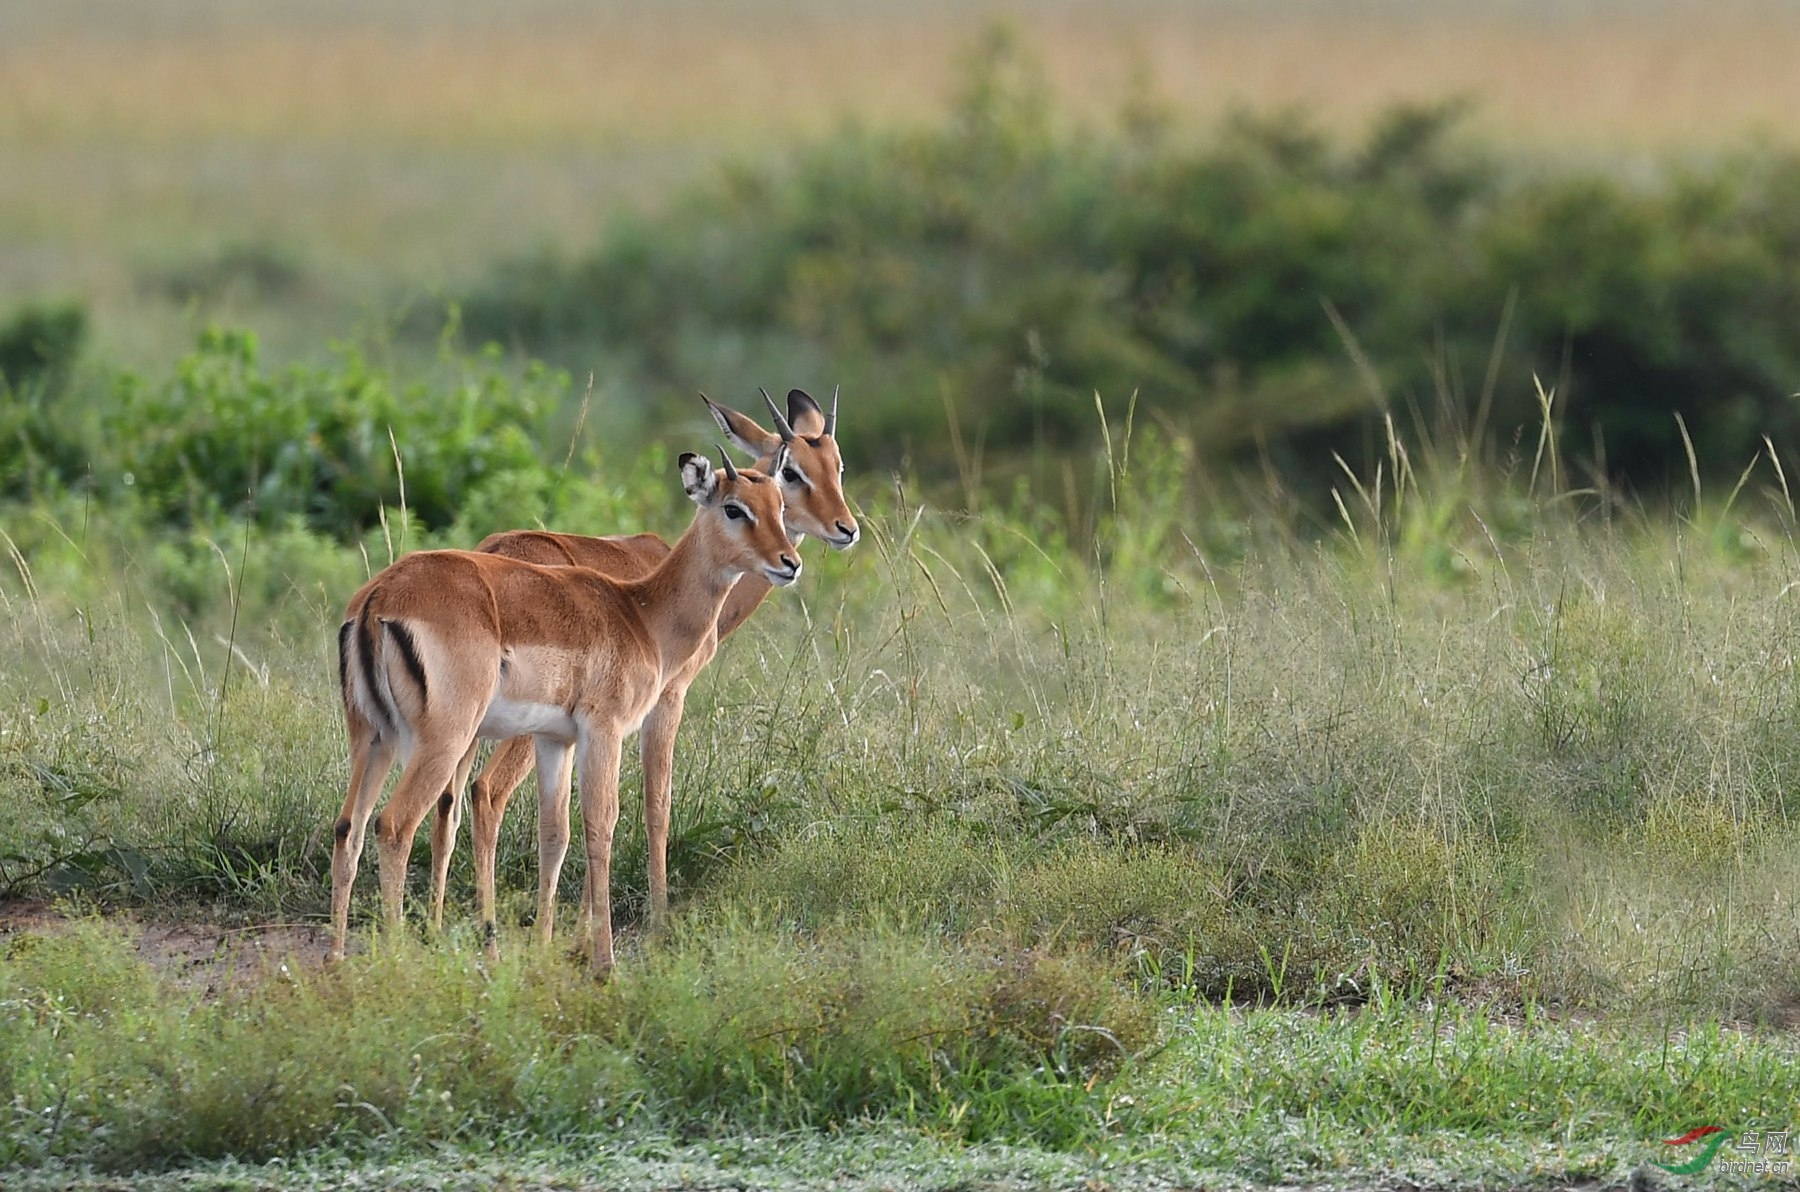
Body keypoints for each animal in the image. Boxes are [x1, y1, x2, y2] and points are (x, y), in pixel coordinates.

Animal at [325, 448, 802, 979]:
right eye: (734, 508)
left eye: (779, 504)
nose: (789, 563)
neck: (639, 614)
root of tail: (380, 598)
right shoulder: (605, 729)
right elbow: (604, 823)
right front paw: (605, 962)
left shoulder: (557, 740)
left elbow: (556, 831)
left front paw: (546, 952)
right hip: (443, 742)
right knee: (395, 826)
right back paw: (398, 962)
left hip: (374, 739)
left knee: (348, 829)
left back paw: (336, 962)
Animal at [442, 387, 856, 957]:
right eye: (790, 471)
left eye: (837, 464)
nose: (846, 529)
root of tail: (490, 552)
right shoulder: (665, 699)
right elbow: (655, 804)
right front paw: (650, 927)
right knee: (487, 792)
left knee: (447, 804)